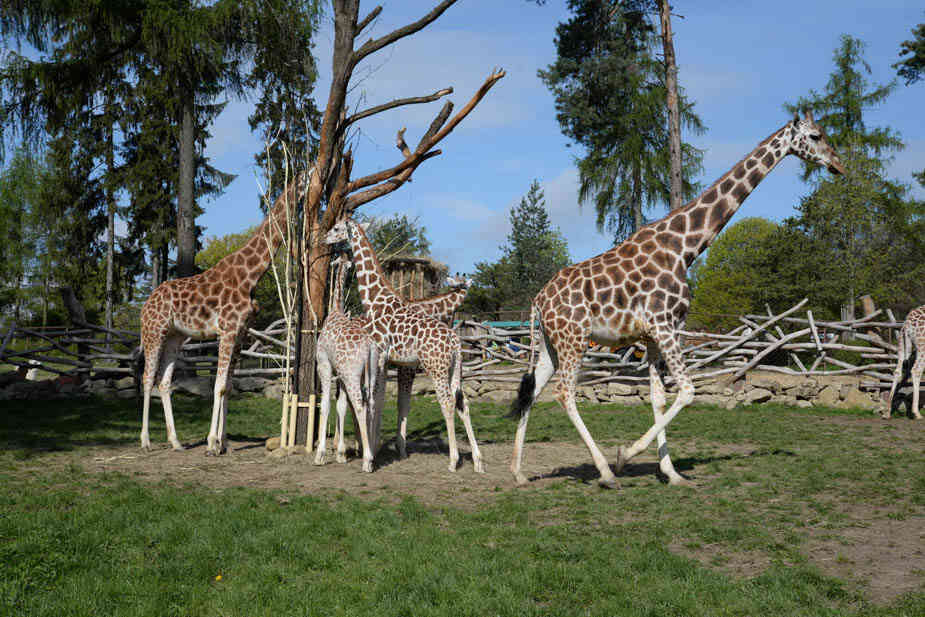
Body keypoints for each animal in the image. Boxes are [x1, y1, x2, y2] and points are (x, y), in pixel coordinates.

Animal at [139, 172, 304, 452]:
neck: (252, 275)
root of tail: (144, 306)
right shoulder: (226, 330)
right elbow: (218, 386)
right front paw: (212, 443)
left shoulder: (241, 332)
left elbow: (227, 386)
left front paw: (223, 441)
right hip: (154, 332)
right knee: (147, 378)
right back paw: (146, 441)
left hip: (174, 336)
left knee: (164, 381)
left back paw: (176, 441)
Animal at [324, 217, 484, 472]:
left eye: (338, 228)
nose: (324, 239)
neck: (374, 300)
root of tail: (455, 342)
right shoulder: (393, 362)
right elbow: (386, 401)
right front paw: (380, 449)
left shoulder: (383, 358)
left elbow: (378, 402)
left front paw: (375, 452)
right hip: (453, 370)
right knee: (463, 402)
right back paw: (477, 460)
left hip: (436, 368)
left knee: (447, 403)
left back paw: (453, 460)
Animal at [508, 110, 848, 486]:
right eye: (816, 136)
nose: (838, 165)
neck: (685, 247)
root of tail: (539, 301)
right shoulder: (665, 326)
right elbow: (687, 391)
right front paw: (625, 455)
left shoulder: (653, 335)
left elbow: (658, 398)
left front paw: (670, 472)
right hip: (574, 340)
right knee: (564, 393)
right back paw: (605, 473)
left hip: (550, 345)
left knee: (533, 391)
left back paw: (518, 472)